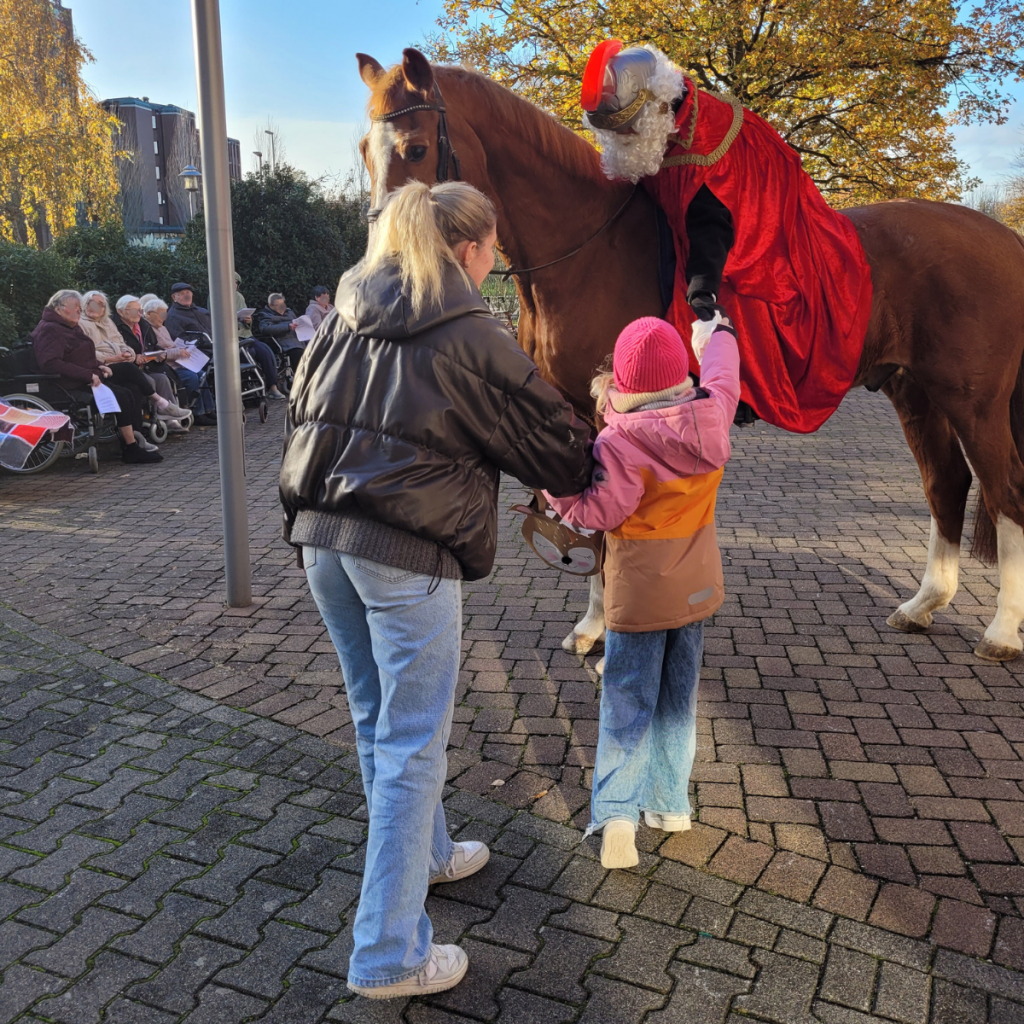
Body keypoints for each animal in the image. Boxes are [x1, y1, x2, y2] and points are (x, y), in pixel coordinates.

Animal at [356, 47, 1024, 664]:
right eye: (365, 148)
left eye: (415, 148)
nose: (383, 264)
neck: (587, 250)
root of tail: (1003, 236)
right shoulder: (570, 408)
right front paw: (593, 623)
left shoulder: (608, 411)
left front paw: (609, 626)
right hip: (915, 393)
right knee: (946, 484)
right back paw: (924, 604)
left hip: (974, 404)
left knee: (1004, 492)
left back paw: (1001, 631)